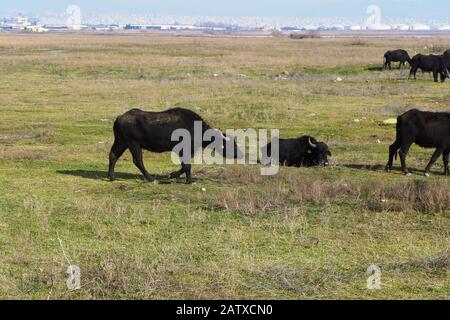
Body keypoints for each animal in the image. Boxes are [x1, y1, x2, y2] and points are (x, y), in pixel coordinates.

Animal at [108, 107, 243, 184]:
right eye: (230, 144)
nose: (240, 154)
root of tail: (119, 118)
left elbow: (184, 166)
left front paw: (173, 175)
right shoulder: (183, 150)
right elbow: (186, 166)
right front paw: (187, 180)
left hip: (121, 142)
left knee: (113, 155)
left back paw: (111, 177)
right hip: (133, 144)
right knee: (138, 161)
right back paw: (151, 178)